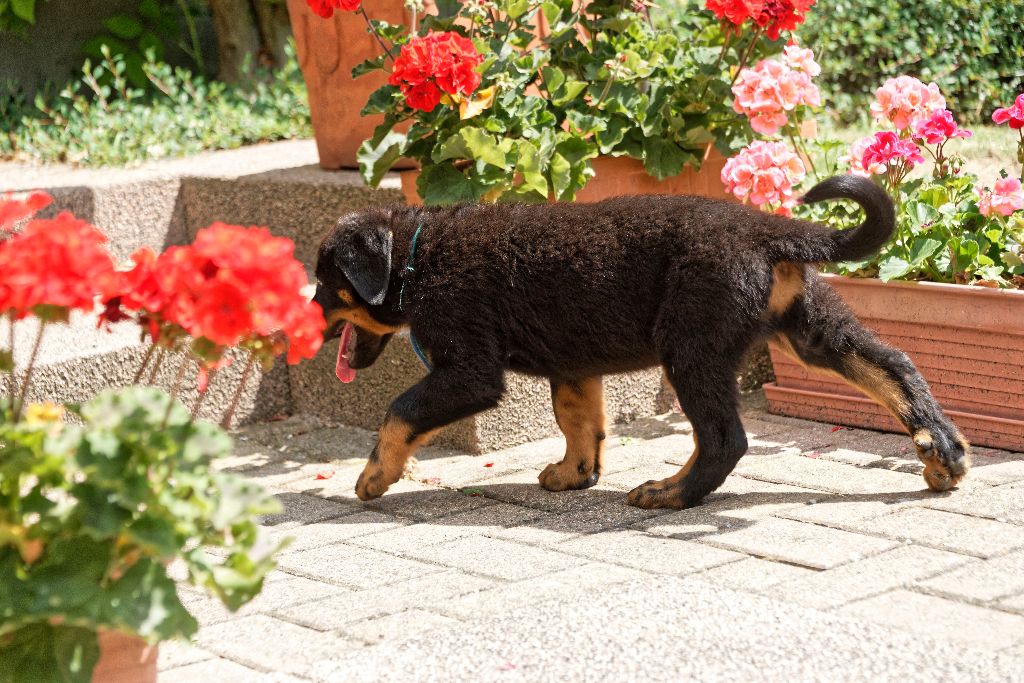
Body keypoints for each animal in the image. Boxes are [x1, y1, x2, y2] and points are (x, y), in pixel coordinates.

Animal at [309, 176, 966, 507]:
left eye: (325, 284)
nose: (305, 323)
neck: (418, 256)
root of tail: (765, 229)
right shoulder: (572, 365)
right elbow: (578, 422)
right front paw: (574, 475)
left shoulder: (468, 370)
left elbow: (400, 411)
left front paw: (373, 478)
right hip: (809, 328)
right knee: (892, 364)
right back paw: (943, 451)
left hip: (691, 344)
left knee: (724, 439)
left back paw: (671, 493)